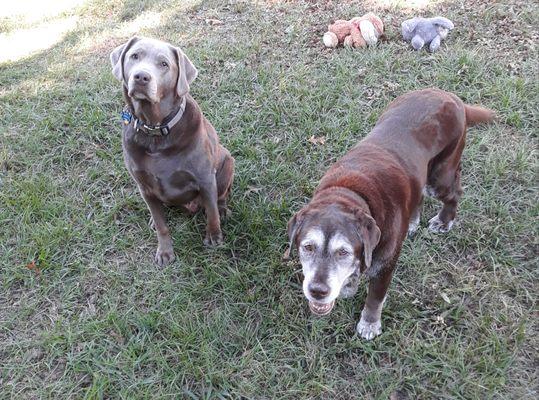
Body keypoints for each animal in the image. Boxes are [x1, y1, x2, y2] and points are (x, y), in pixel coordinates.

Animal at [110, 37, 234, 266]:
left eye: (164, 64)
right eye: (134, 56)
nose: (141, 77)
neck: (155, 131)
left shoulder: (205, 178)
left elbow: (212, 213)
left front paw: (214, 237)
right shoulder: (144, 187)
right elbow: (162, 226)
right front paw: (165, 251)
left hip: (227, 161)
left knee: (219, 198)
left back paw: (223, 209)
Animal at [286, 89, 494, 340]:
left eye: (343, 252)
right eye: (307, 247)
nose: (318, 291)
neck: (349, 194)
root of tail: (449, 95)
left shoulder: (384, 266)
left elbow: (375, 298)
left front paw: (369, 324)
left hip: (441, 175)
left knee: (454, 193)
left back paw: (444, 221)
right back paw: (412, 222)